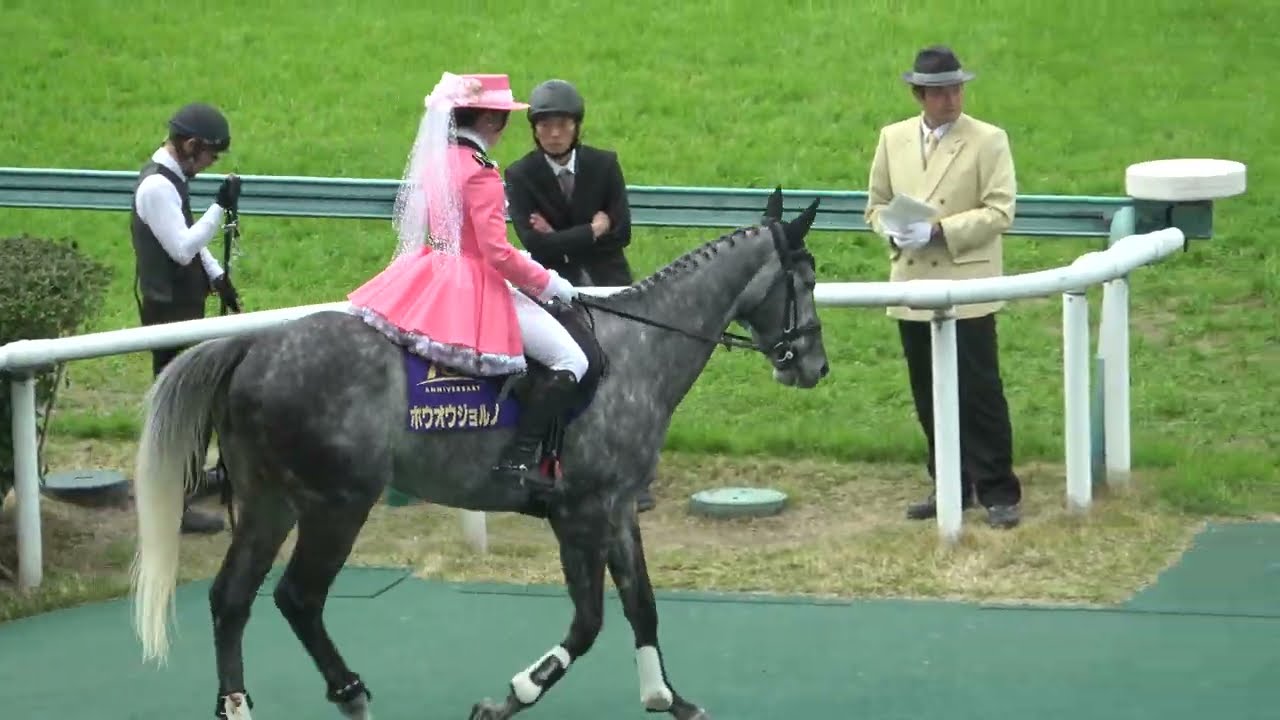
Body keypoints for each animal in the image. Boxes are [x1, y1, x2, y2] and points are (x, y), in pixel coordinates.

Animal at [129, 188, 829, 712]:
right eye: (806, 276)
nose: (815, 366)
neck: (638, 349)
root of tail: (255, 346)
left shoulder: (618, 508)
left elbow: (643, 605)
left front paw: (667, 698)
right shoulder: (579, 514)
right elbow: (589, 621)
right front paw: (515, 693)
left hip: (270, 501)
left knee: (232, 598)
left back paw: (239, 704)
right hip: (337, 505)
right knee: (297, 598)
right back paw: (350, 692)